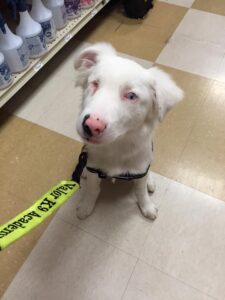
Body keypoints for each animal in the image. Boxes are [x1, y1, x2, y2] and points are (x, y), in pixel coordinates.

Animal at [74, 42, 183, 220]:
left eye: (131, 96)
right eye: (95, 84)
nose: (91, 126)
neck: (117, 145)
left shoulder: (140, 169)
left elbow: (140, 191)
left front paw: (147, 207)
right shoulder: (94, 169)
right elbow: (92, 189)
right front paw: (86, 206)